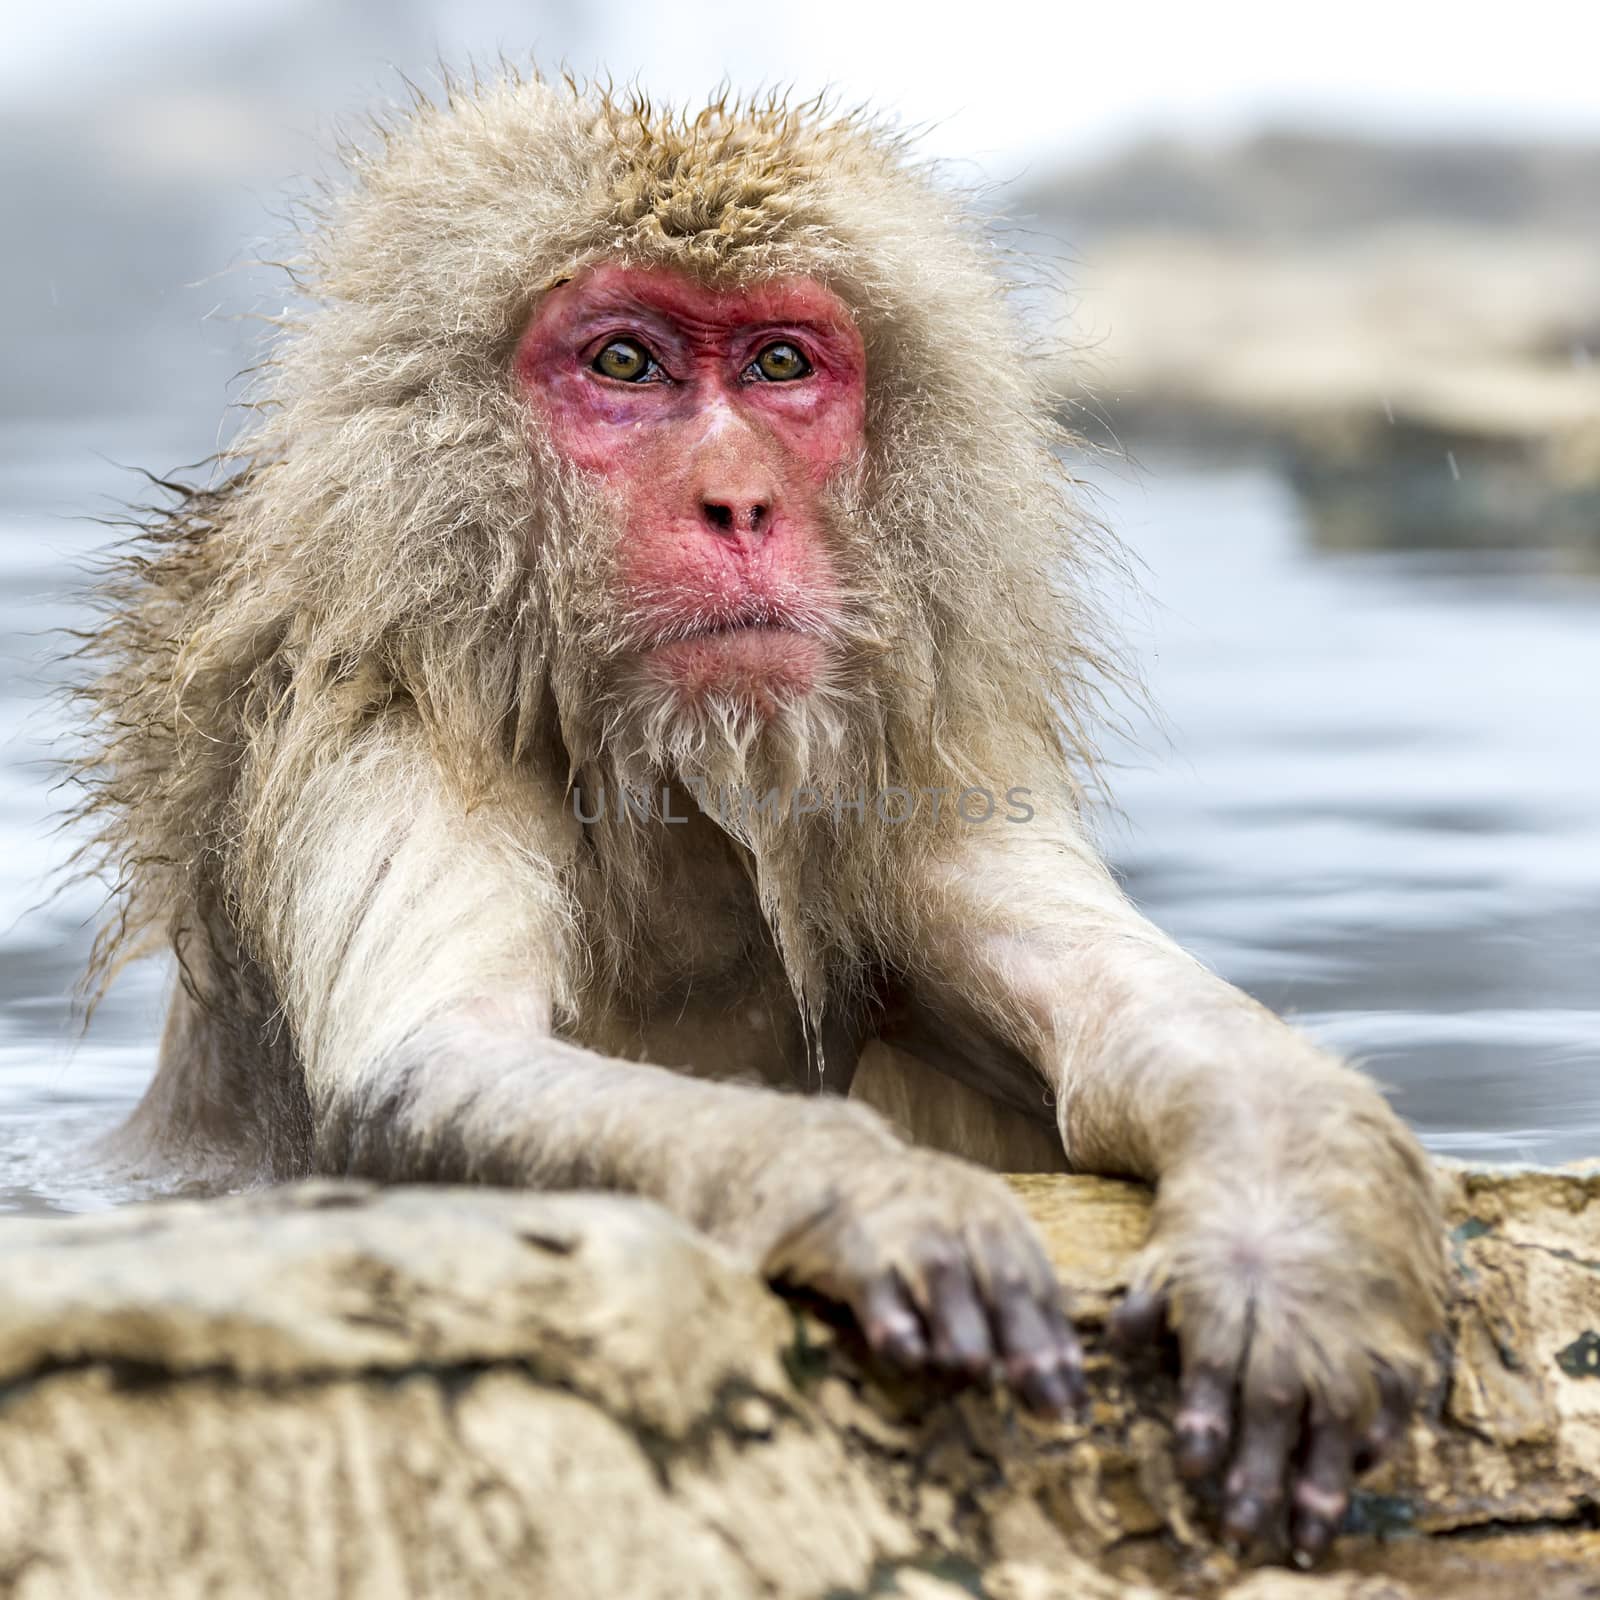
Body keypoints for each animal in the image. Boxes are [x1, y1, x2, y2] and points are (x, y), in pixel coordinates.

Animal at [75, 75, 1452, 1561]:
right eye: (627, 365)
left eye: (782, 366)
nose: (738, 504)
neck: (662, 781)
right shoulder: (380, 722)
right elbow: (432, 1071)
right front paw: (871, 1192)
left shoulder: (906, 782)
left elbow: (1151, 1024)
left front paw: (1281, 1260)